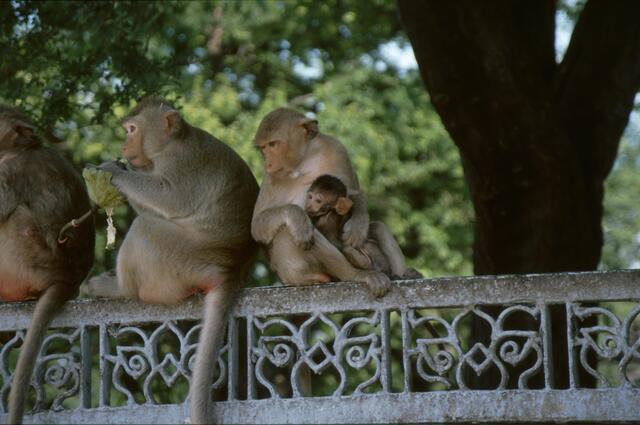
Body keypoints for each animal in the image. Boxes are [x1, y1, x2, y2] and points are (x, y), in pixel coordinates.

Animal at [84, 97, 258, 424]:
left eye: (131, 129)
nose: (124, 146)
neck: (170, 143)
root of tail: (230, 268)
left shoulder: (182, 163)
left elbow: (171, 198)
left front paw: (113, 172)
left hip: (177, 257)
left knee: (146, 227)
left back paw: (118, 289)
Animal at [252, 108, 417, 297]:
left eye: (272, 145)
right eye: (263, 147)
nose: (268, 162)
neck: (302, 161)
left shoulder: (335, 148)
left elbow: (353, 192)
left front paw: (357, 225)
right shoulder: (271, 176)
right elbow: (257, 225)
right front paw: (296, 216)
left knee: (377, 227)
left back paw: (400, 274)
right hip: (295, 272)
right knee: (292, 232)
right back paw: (358, 274)